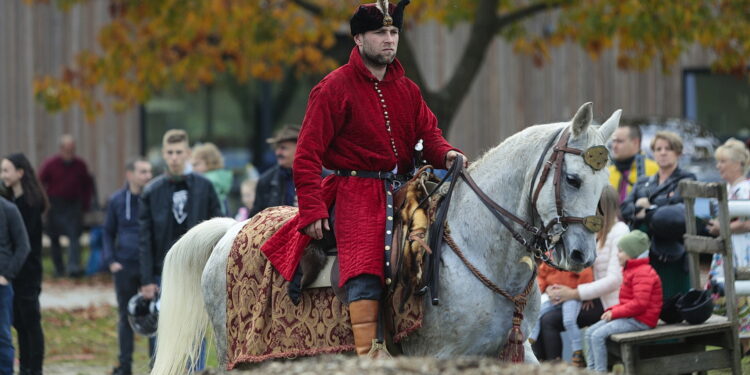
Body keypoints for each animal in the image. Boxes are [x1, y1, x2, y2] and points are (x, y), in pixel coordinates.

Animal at [150, 103, 620, 375]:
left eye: (603, 185)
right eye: (573, 179)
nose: (581, 254)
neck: (479, 249)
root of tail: (231, 230)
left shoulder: (511, 353)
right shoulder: (439, 356)